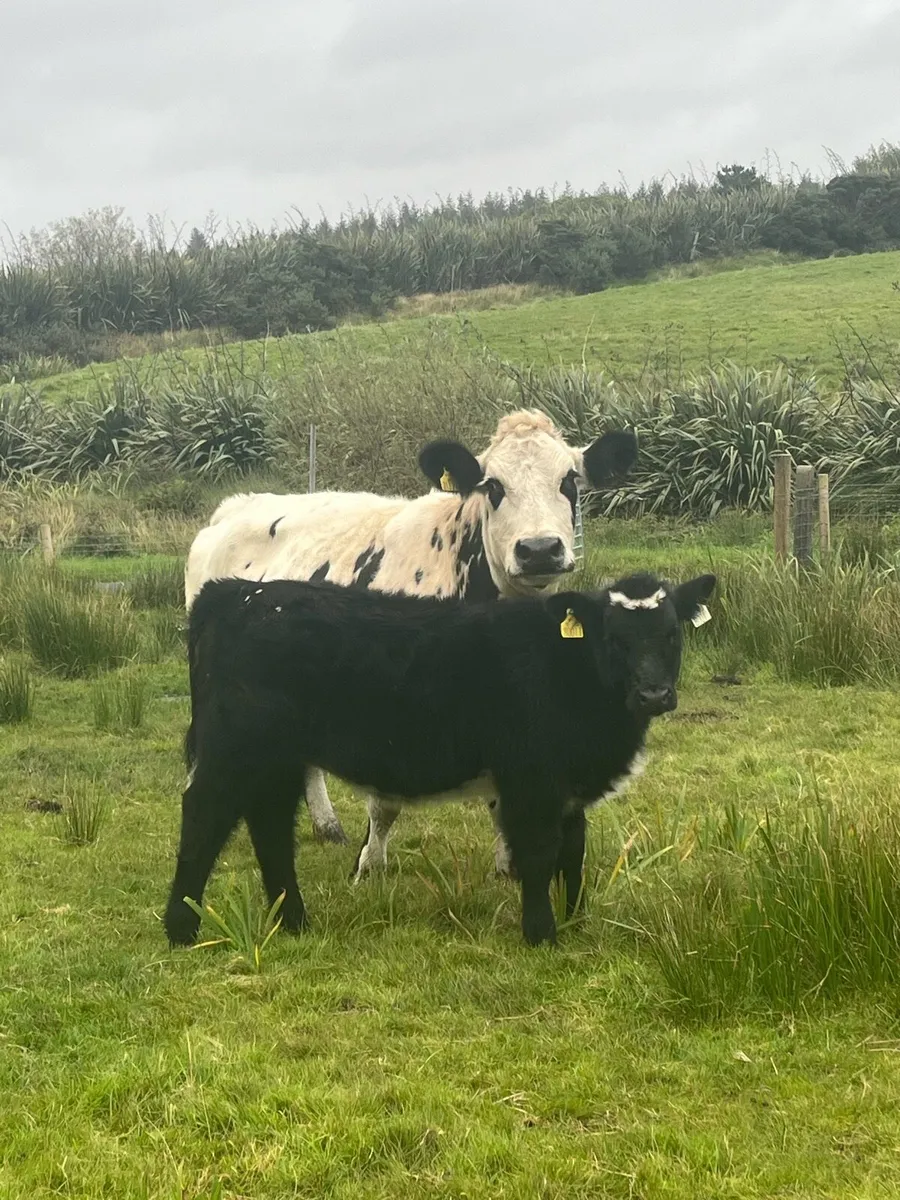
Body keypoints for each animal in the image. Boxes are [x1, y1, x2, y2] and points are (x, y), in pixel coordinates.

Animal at [164, 569, 715, 949]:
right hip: (235, 748)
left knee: (271, 827)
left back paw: (293, 920)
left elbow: (573, 853)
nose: (653, 694)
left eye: (672, 634)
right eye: (614, 637)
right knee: (205, 818)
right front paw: (542, 934)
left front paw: (576, 921)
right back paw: (181, 928)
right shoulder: (530, 779)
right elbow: (539, 854)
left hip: (276, 758)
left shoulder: (567, 786)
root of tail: (240, 592)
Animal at [184, 410, 638, 869]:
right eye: (493, 485)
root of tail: (236, 506)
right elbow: (384, 801)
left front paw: (508, 864)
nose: (540, 549)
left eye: (569, 480)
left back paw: (327, 827)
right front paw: (370, 864)